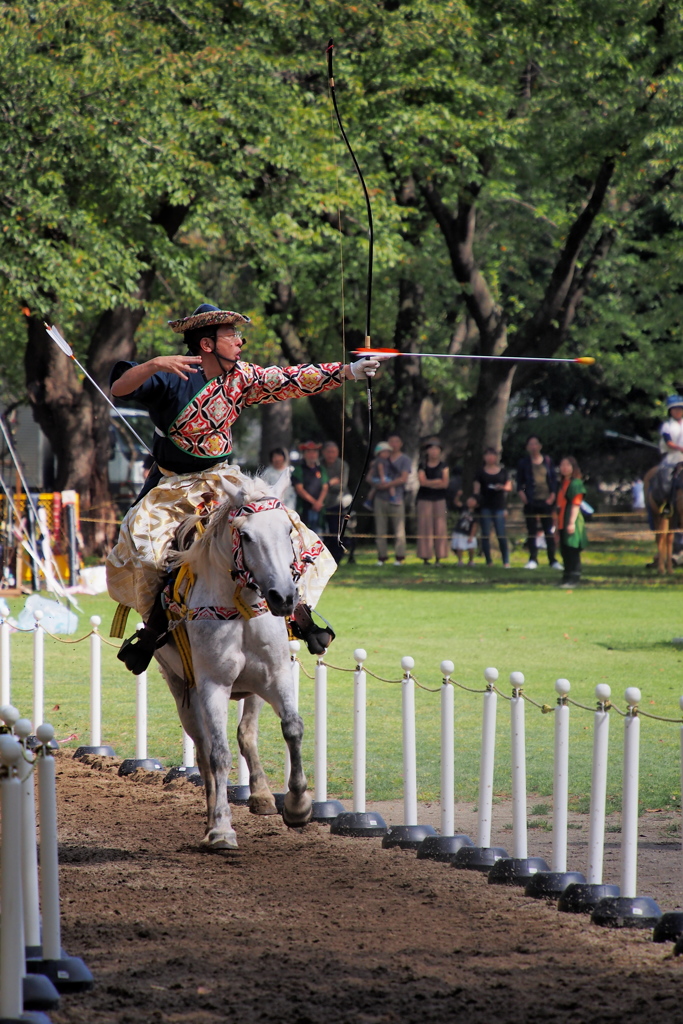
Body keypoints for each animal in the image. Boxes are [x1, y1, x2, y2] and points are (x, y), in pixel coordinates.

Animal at [154, 471, 313, 847]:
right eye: (246, 535)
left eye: (287, 530)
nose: (284, 597)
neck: (239, 611)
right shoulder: (212, 685)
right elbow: (218, 754)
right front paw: (222, 828)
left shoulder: (277, 675)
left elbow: (292, 728)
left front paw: (298, 806)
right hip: (182, 688)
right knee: (204, 752)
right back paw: (213, 818)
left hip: (251, 689)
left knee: (246, 734)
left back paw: (262, 795)